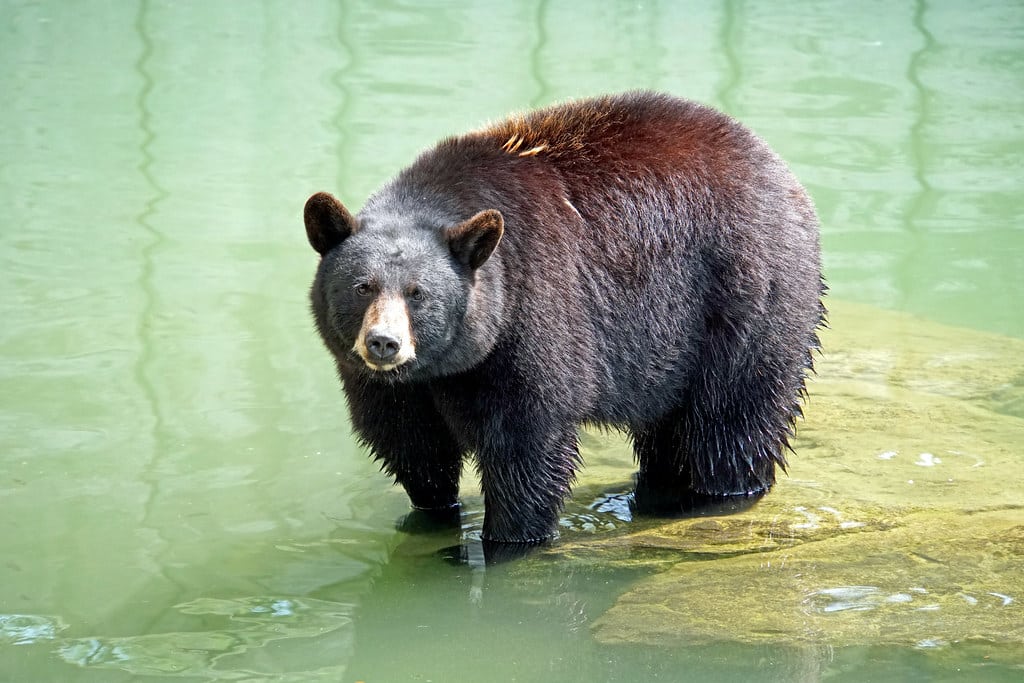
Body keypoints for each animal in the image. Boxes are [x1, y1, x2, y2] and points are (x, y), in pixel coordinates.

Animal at [304, 91, 825, 545]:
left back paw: (721, 494)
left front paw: (508, 540)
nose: (384, 343)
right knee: (669, 433)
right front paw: (435, 521)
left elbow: (526, 445)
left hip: (747, 300)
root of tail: (783, 173)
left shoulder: (532, 310)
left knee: (731, 421)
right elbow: (415, 451)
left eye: (419, 293)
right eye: (362, 286)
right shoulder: (391, 388)